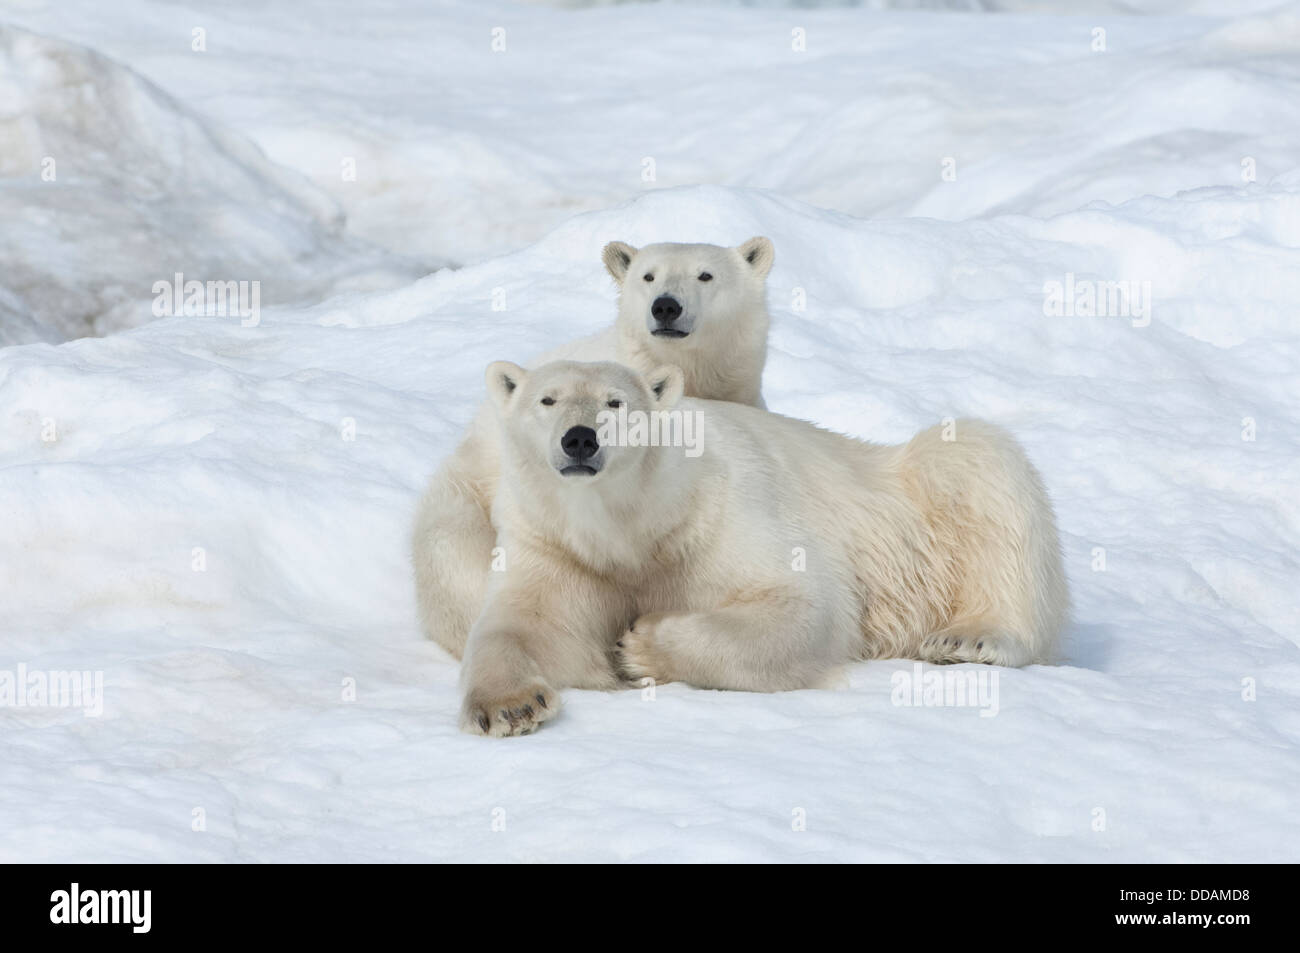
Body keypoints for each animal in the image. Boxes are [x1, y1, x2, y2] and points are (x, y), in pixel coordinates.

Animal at [457, 356, 1066, 738]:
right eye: (547, 399)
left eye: (615, 402)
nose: (579, 439)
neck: (636, 528)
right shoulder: (555, 546)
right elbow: (527, 626)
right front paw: (508, 707)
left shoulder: (720, 512)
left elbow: (805, 606)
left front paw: (640, 645)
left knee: (978, 462)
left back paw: (970, 637)